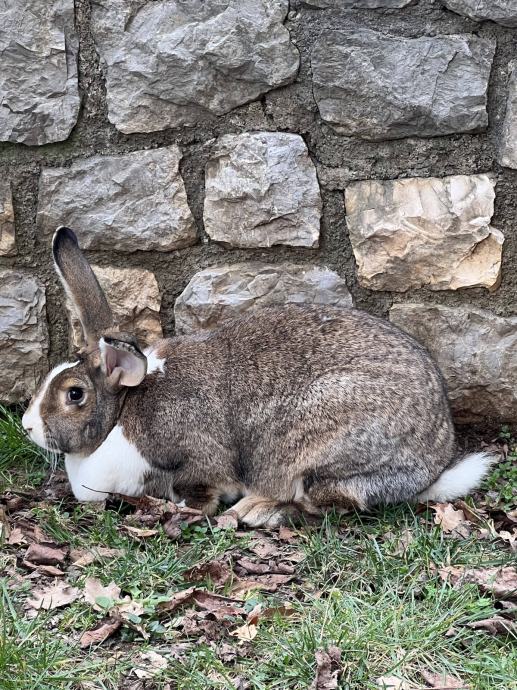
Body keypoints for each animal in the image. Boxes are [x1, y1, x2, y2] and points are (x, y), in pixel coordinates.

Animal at [22, 227, 494, 528]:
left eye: (75, 395)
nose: (27, 426)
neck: (122, 412)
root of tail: (432, 461)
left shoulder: (198, 461)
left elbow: (201, 489)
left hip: (315, 445)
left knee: (327, 503)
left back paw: (253, 512)